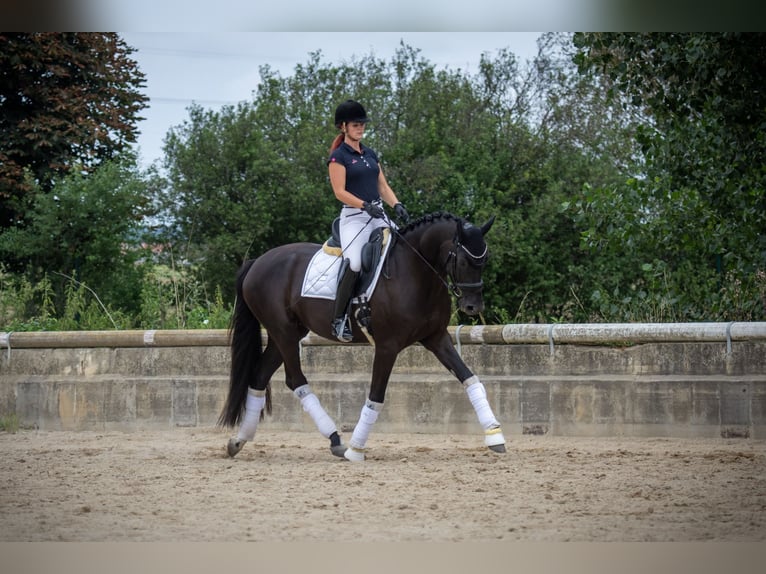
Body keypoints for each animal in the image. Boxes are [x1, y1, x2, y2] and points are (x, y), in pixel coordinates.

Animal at [218, 212, 504, 464]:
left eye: (486, 259)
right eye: (464, 261)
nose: (473, 307)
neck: (415, 272)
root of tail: (257, 262)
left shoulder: (436, 338)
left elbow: (470, 378)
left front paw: (495, 435)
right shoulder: (388, 346)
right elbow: (376, 396)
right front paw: (356, 449)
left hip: (285, 334)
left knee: (259, 376)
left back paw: (239, 440)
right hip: (284, 332)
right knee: (295, 380)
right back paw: (335, 439)